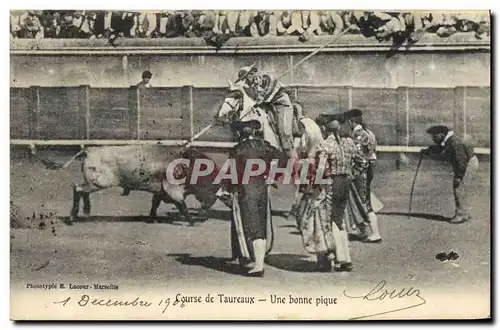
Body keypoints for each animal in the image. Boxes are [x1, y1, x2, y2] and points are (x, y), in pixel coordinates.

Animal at [214, 80, 324, 222]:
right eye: (226, 94)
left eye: (236, 96)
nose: (220, 116)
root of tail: (315, 126)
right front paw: (223, 195)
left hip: (307, 157)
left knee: (302, 182)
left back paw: (294, 211)